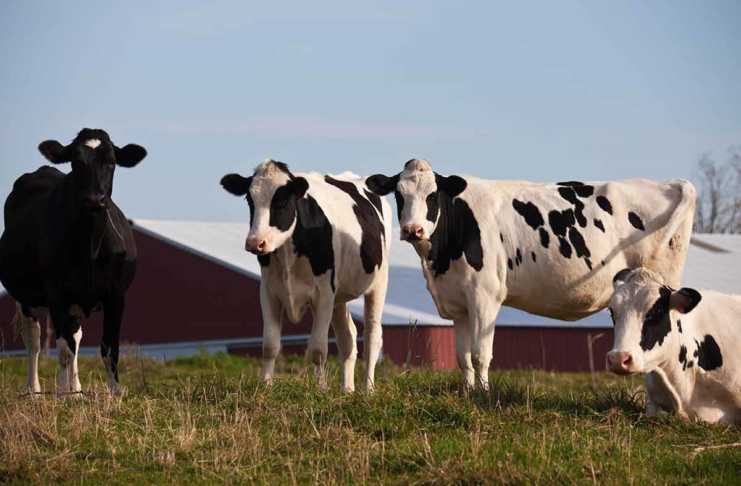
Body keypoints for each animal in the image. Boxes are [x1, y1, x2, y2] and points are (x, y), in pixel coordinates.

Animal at [0, 129, 147, 396]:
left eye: (111, 162)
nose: (94, 200)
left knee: (75, 336)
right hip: (25, 298)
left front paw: (114, 392)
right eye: (76, 162)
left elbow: (109, 347)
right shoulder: (57, 294)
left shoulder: (116, 295)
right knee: (34, 340)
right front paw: (62, 393)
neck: (90, 246)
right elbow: (63, 349)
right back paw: (34, 390)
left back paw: (76, 388)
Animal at [220, 160, 392, 392]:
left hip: (378, 283)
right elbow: (270, 345)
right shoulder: (268, 292)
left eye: (282, 201)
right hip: (339, 297)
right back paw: (347, 390)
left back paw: (368, 389)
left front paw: (321, 389)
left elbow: (318, 349)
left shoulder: (324, 295)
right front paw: (265, 386)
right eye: (249, 200)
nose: (255, 242)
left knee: (373, 335)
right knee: (348, 338)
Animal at [367, 159, 696, 392]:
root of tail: (670, 183)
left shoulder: (486, 296)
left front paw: (482, 395)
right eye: (399, 195)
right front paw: (467, 392)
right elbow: (462, 357)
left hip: (660, 284)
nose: (413, 230)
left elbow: (481, 353)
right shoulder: (458, 302)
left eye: (432, 195)